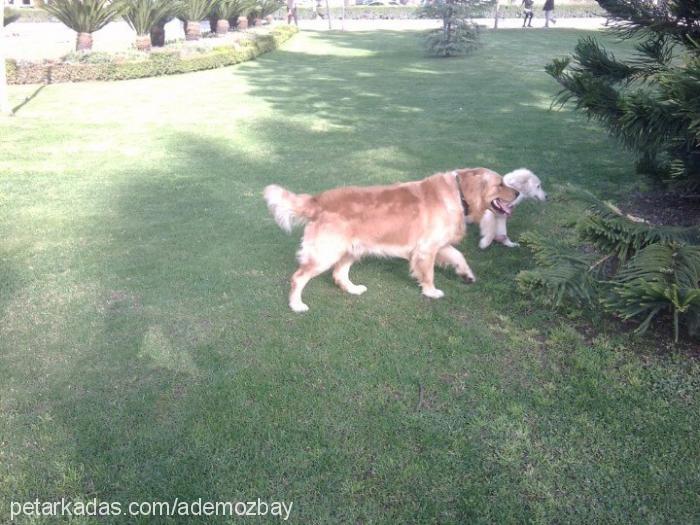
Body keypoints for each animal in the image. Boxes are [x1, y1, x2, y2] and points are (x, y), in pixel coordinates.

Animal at [266, 168, 516, 312]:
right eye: (501, 184)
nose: (518, 193)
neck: (459, 192)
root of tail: (318, 200)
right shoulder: (426, 249)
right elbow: (429, 273)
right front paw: (431, 291)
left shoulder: (438, 244)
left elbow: (458, 255)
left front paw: (467, 275)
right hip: (326, 253)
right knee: (298, 277)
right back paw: (296, 304)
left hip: (351, 249)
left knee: (338, 274)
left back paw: (353, 289)